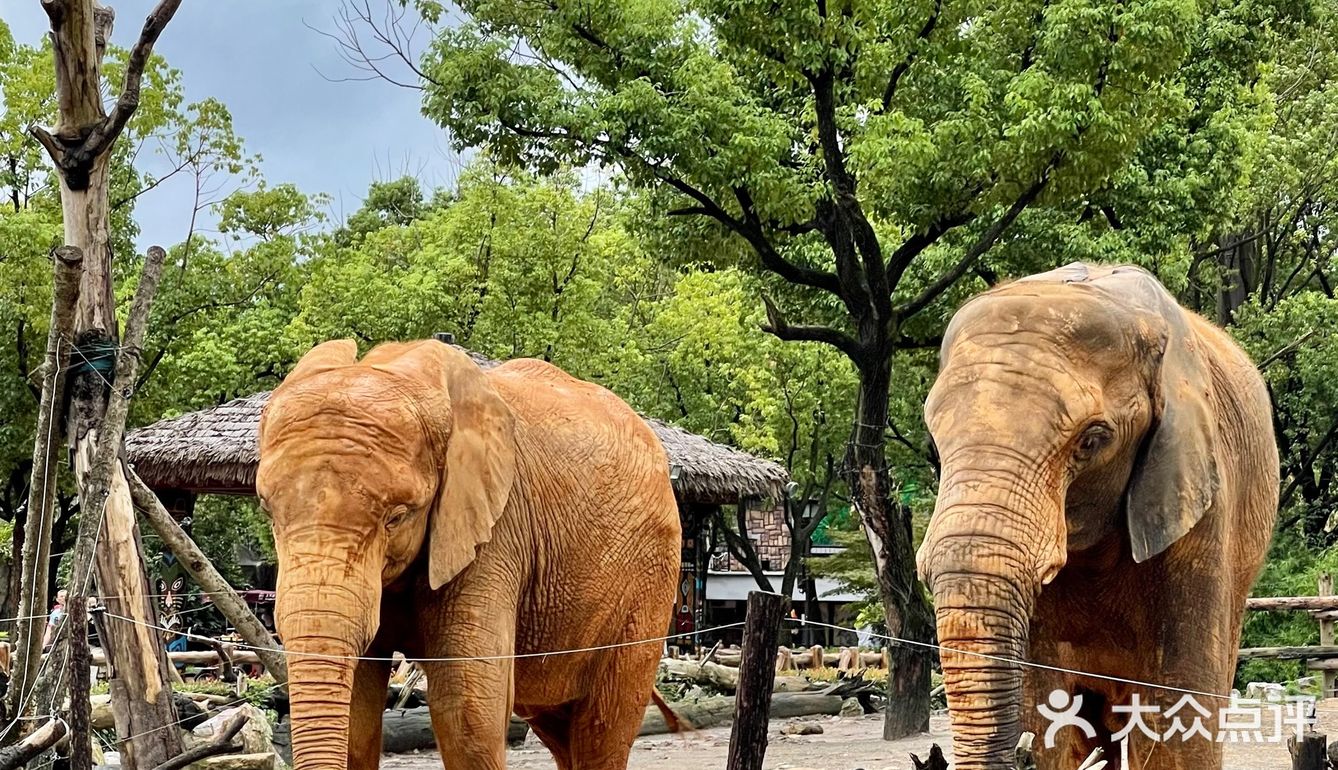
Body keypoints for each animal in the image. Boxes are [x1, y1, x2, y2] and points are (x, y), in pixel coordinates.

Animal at [256, 338, 685, 770]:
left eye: (397, 517)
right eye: (267, 510)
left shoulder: (496, 530)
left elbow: (467, 711)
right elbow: (356, 715)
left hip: (648, 577)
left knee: (602, 726)